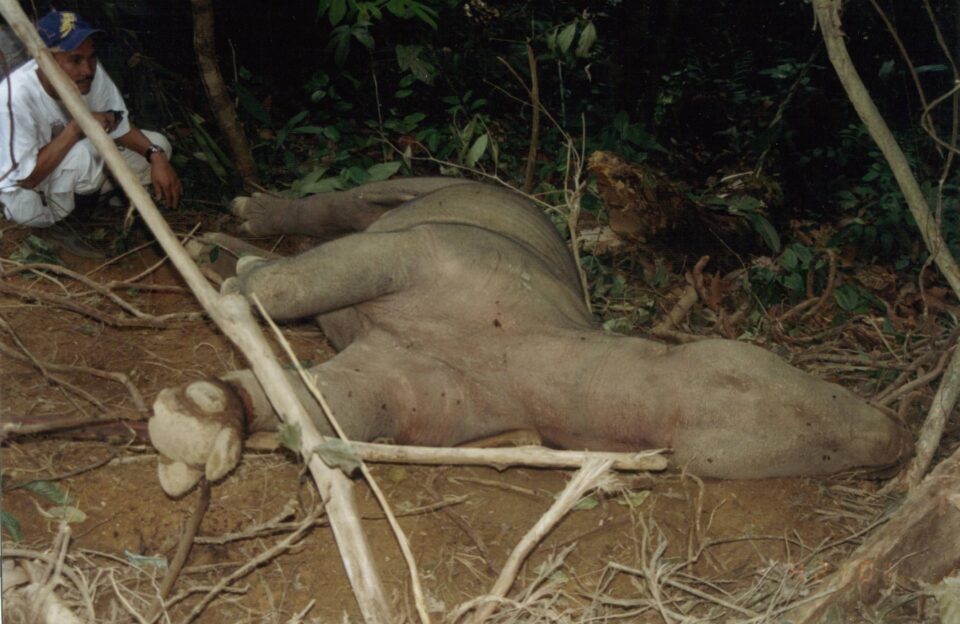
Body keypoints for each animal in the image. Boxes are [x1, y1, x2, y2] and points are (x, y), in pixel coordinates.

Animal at [148, 178, 911, 495]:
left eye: (821, 454)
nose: (893, 437)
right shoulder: (414, 252)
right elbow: (281, 290)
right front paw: (242, 287)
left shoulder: (404, 391)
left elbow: (308, 407)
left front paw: (209, 414)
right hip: (411, 191)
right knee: (334, 207)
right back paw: (245, 223)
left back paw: (219, 245)